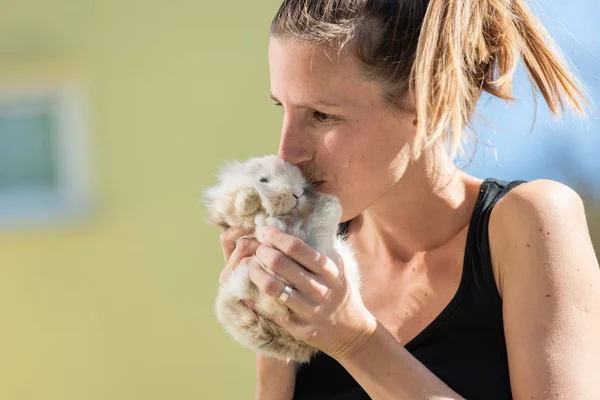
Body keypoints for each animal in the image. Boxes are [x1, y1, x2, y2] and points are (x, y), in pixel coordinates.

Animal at [202, 155, 360, 364]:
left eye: (301, 182)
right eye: (263, 179)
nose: (297, 193)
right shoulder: (229, 212)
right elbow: (239, 207)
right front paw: (251, 197)